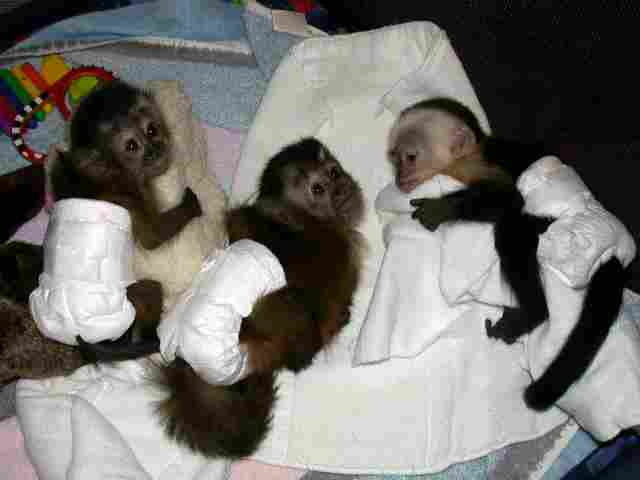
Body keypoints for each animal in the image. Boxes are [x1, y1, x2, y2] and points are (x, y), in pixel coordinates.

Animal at [155, 137, 365, 459]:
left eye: (333, 171)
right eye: (318, 189)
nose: (341, 187)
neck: (304, 218)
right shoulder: (339, 249)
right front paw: (341, 316)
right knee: (293, 308)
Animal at [387, 97, 627, 410]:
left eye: (411, 157)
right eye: (394, 159)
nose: (399, 177)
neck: (466, 160)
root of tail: (612, 250)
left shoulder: (479, 165)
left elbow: (512, 198)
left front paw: (442, 208)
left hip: (560, 228)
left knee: (511, 230)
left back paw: (533, 314)